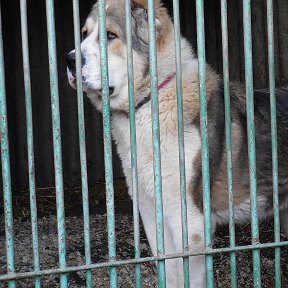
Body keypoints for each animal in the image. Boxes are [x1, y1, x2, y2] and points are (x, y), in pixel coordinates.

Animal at [66, 1, 288, 286]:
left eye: (110, 35)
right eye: (84, 33)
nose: (70, 60)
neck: (153, 98)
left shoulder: (191, 228)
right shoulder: (152, 214)